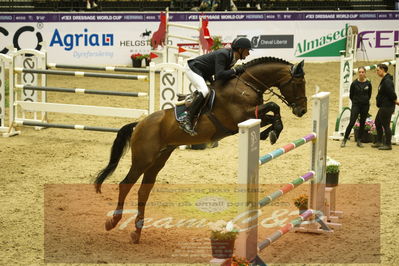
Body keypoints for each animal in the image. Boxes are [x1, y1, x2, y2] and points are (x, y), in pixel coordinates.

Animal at [95, 56, 308, 243]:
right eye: (299, 83)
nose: (302, 111)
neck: (246, 85)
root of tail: (139, 124)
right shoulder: (241, 117)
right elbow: (273, 106)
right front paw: (270, 133)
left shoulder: (251, 116)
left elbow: (273, 114)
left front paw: (269, 133)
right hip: (143, 159)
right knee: (125, 184)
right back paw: (112, 222)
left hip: (158, 161)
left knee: (143, 192)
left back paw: (136, 233)